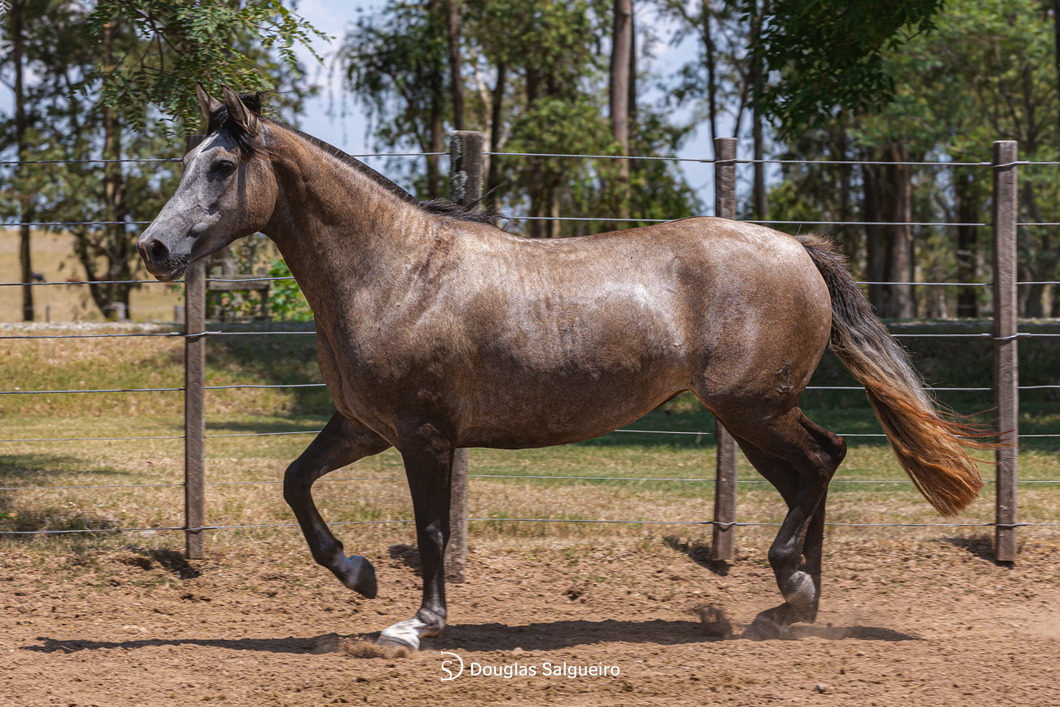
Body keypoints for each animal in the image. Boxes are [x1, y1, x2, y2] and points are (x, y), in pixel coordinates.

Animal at [137, 85, 986, 649]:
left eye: (221, 167)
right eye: (189, 160)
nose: (153, 248)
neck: (396, 271)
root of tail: (795, 247)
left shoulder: (424, 433)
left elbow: (433, 527)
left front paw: (417, 623)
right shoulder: (362, 425)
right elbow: (296, 482)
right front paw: (357, 572)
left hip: (754, 407)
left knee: (821, 461)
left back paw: (793, 589)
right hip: (751, 417)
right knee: (816, 470)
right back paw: (792, 608)